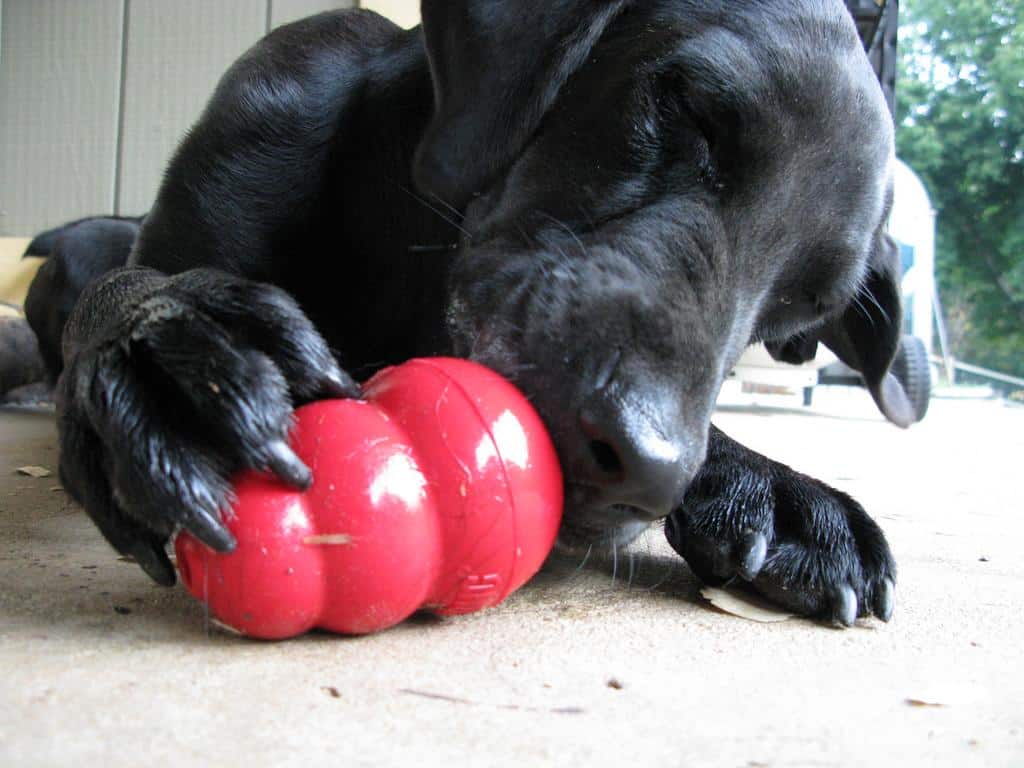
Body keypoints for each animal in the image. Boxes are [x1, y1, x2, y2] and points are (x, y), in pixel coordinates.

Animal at [58, 0, 905, 626]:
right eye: (689, 109)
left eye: (798, 312)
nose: (645, 469)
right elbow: (124, 290)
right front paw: (165, 356)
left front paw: (773, 486)